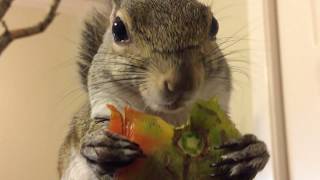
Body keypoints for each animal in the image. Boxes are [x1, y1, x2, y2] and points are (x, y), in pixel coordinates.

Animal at [58, 0, 270, 179]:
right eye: (118, 29)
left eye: (214, 26)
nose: (182, 82)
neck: (169, 117)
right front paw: (102, 146)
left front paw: (251, 153)